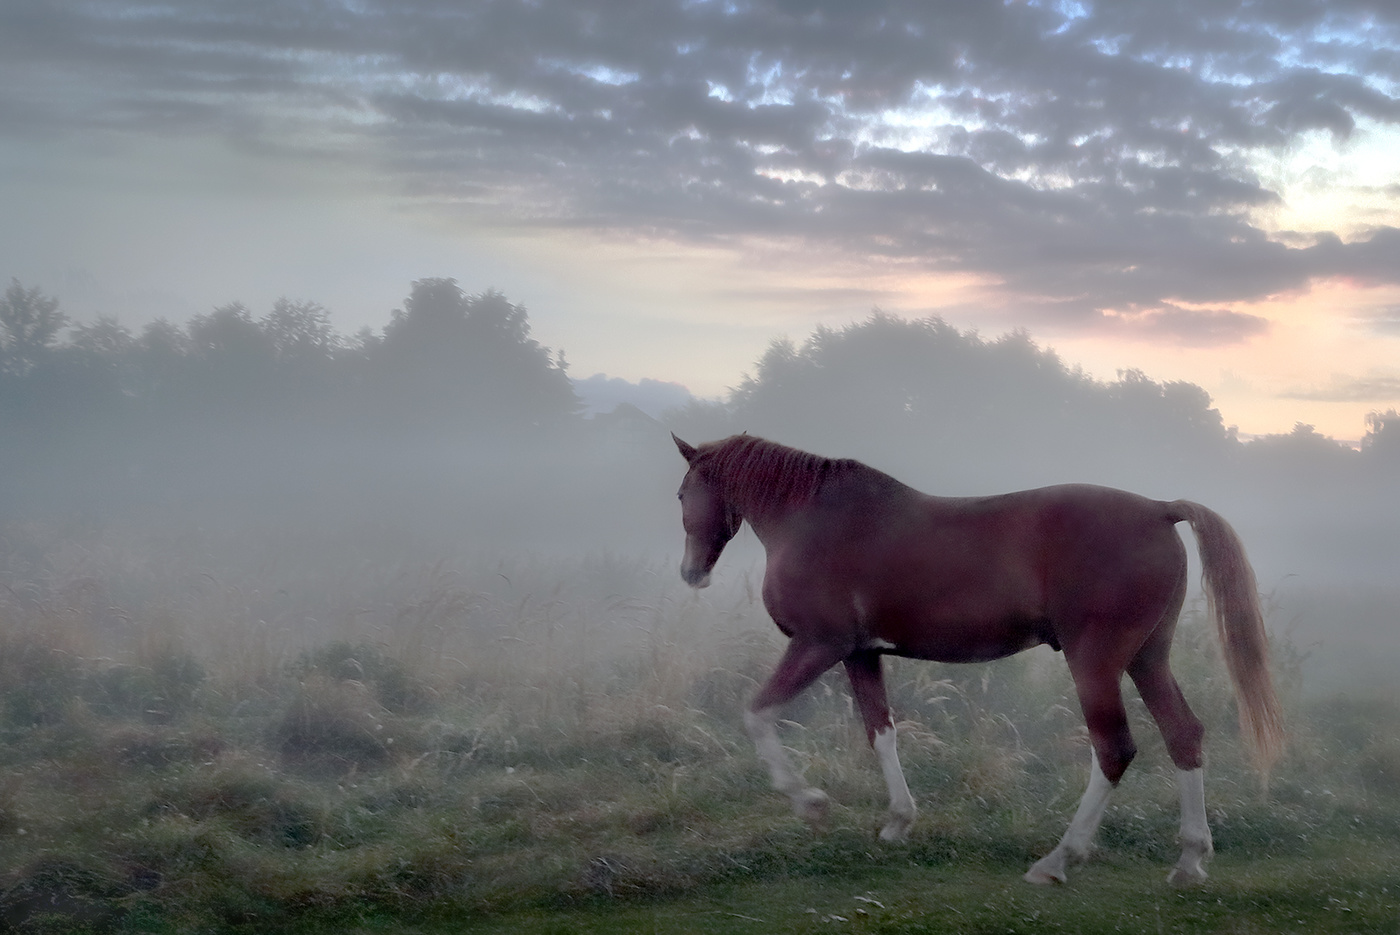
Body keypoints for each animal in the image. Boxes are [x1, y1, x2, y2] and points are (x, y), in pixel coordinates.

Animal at [672, 431, 1282, 884]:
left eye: (681, 495)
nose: (691, 573)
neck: (812, 515)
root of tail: (1160, 510)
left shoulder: (817, 645)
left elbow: (758, 714)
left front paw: (811, 803)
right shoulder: (860, 655)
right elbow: (881, 732)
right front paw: (898, 822)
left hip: (1095, 663)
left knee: (1114, 749)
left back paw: (1058, 860)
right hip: (1148, 659)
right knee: (1184, 735)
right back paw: (1190, 860)